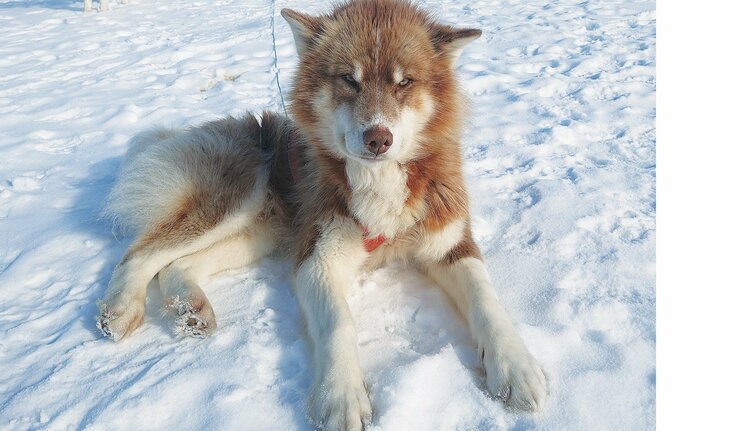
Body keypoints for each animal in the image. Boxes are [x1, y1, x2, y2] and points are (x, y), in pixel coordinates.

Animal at [96, 0, 548, 428]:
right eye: (349, 78)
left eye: (405, 82)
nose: (378, 138)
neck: (379, 182)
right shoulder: (316, 255)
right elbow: (338, 323)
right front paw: (341, 396)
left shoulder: (450, 239)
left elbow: (486, 297)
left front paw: (517, 366)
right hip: (234, 201)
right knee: (142, 253)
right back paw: (121, 310)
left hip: (264, 231)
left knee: (179, 264)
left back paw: (190, 307)